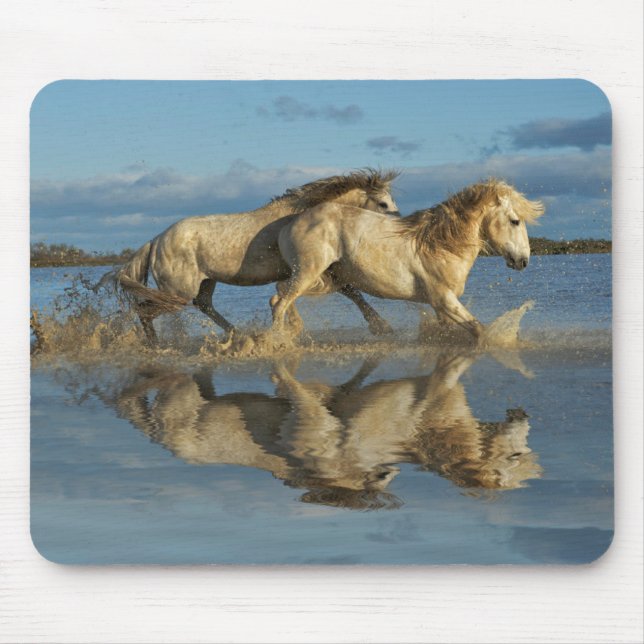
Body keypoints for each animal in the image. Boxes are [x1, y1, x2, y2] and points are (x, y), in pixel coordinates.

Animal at [106, 169, 400, 344]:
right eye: (383, 203)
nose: (397, 229)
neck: (302, 215)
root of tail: (156, 240)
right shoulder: (315, 269)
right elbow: (349, 291)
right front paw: (382, 326)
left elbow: (345, 292)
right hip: (177, 292)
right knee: (143, 310)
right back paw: (155, 345)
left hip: (205, 283)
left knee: (205, 305)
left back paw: (238, 334)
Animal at [271, 179, 544, 339]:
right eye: (515, 221)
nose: (523, 261)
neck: (440, 245)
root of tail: (289, 224)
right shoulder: (443, 299)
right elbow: (480, 330)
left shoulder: (441, 307)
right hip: (308, 273)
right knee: (280, 302)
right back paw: (276, 342)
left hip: (325, 280)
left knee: (279, 294)